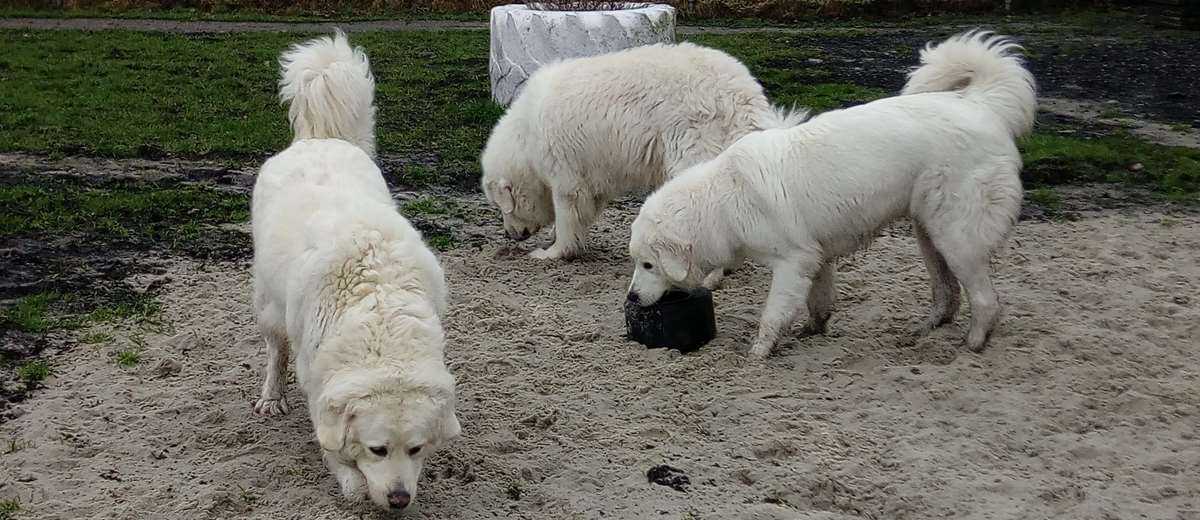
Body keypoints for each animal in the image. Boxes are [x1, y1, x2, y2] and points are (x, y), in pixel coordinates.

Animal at [250, 31, 460, 511]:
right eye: (377, 449)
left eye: (416, 448)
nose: (400, 499)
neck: (381, 316)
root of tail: (320, 138)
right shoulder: (319, 383)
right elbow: (334, 449)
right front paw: (352, 482)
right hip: (269, 305)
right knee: (275, 350)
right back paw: (272, 396)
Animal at [480, 42, 806, 259]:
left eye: (501, 206)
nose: (509, 234)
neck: (526, 133)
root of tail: (745, 95)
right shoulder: (591, 177)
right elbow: (584, 211)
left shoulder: (565, 174)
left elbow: (567, 213)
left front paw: (553, 252)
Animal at [624, 31, 1036, 355]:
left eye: (648, 265)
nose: (631, 298)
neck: (722, 200)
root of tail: (980, 104)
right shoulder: (816, 257)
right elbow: (818, 303)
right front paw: (812, 332)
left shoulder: (793, 261)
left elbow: (772, 315)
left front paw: (757, 355)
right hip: (928, 232)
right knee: (947, 293)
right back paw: (923, 332)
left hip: (955, 235)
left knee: (984, 299)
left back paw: (974, 343)